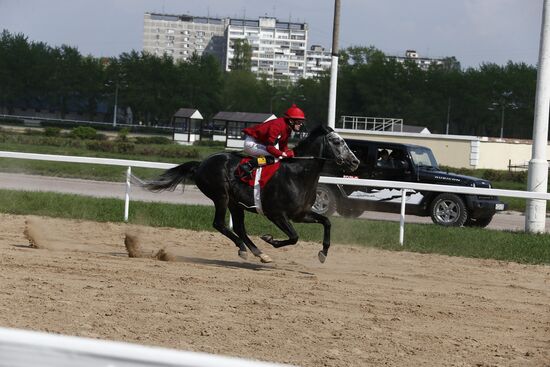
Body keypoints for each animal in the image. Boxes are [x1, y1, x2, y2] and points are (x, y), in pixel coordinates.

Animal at [140, 126, 360, 264]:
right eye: (336, 141)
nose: (355, 162)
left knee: (239, 228)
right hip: (221, 196)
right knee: (220, 224)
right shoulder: (276, 214)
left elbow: (326, 222)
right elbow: (294, 237)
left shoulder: (301, 214)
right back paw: (244, 249)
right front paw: (270, 239)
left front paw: (323, 253)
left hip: (235, 203)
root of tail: (201, 164)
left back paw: (259, 253)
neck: (297, 174)